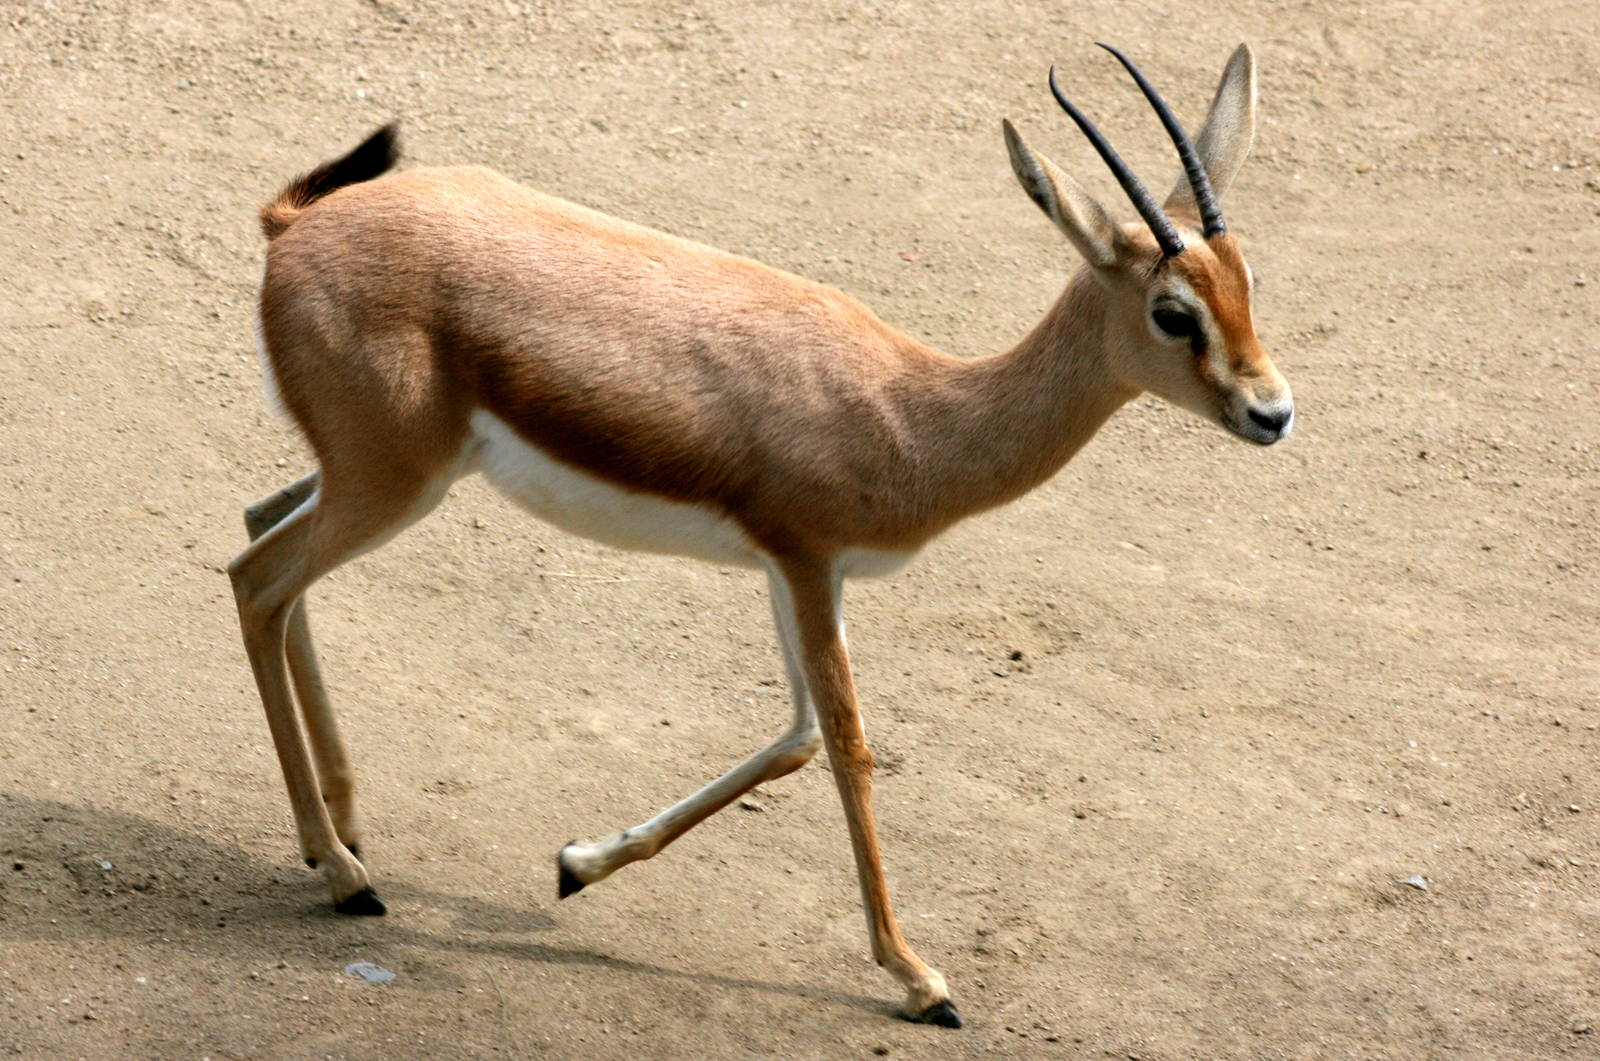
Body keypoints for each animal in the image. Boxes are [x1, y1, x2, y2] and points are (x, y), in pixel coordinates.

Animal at [230, 43, 1291, 1028]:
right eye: (1173, 312)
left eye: (1248, 285)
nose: (1272, 412)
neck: (912, 413)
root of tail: (296, 227)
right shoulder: (807, 562)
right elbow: (850, 746)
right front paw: (920, 980)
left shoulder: (799, 574)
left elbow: (795, 741)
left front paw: (578, 863)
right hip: (391, 485)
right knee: (257, 579)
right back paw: (342, 874)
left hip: (392, 479)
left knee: (263, 529)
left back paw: (346, 827)